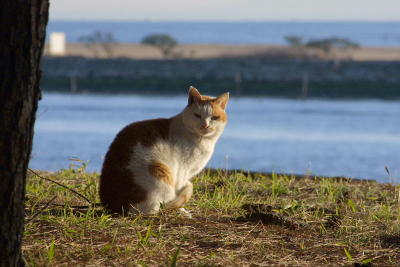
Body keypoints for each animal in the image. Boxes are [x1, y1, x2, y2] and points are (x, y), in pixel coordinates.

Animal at [99, 87, 230, 217]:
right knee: (152, 209)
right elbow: (180, 189)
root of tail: (114, 207)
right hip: (159, 171)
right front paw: (181, 209)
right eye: (197, 115)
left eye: (214, 117)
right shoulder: (182, 171)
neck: (203, 140)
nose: (205, 126)